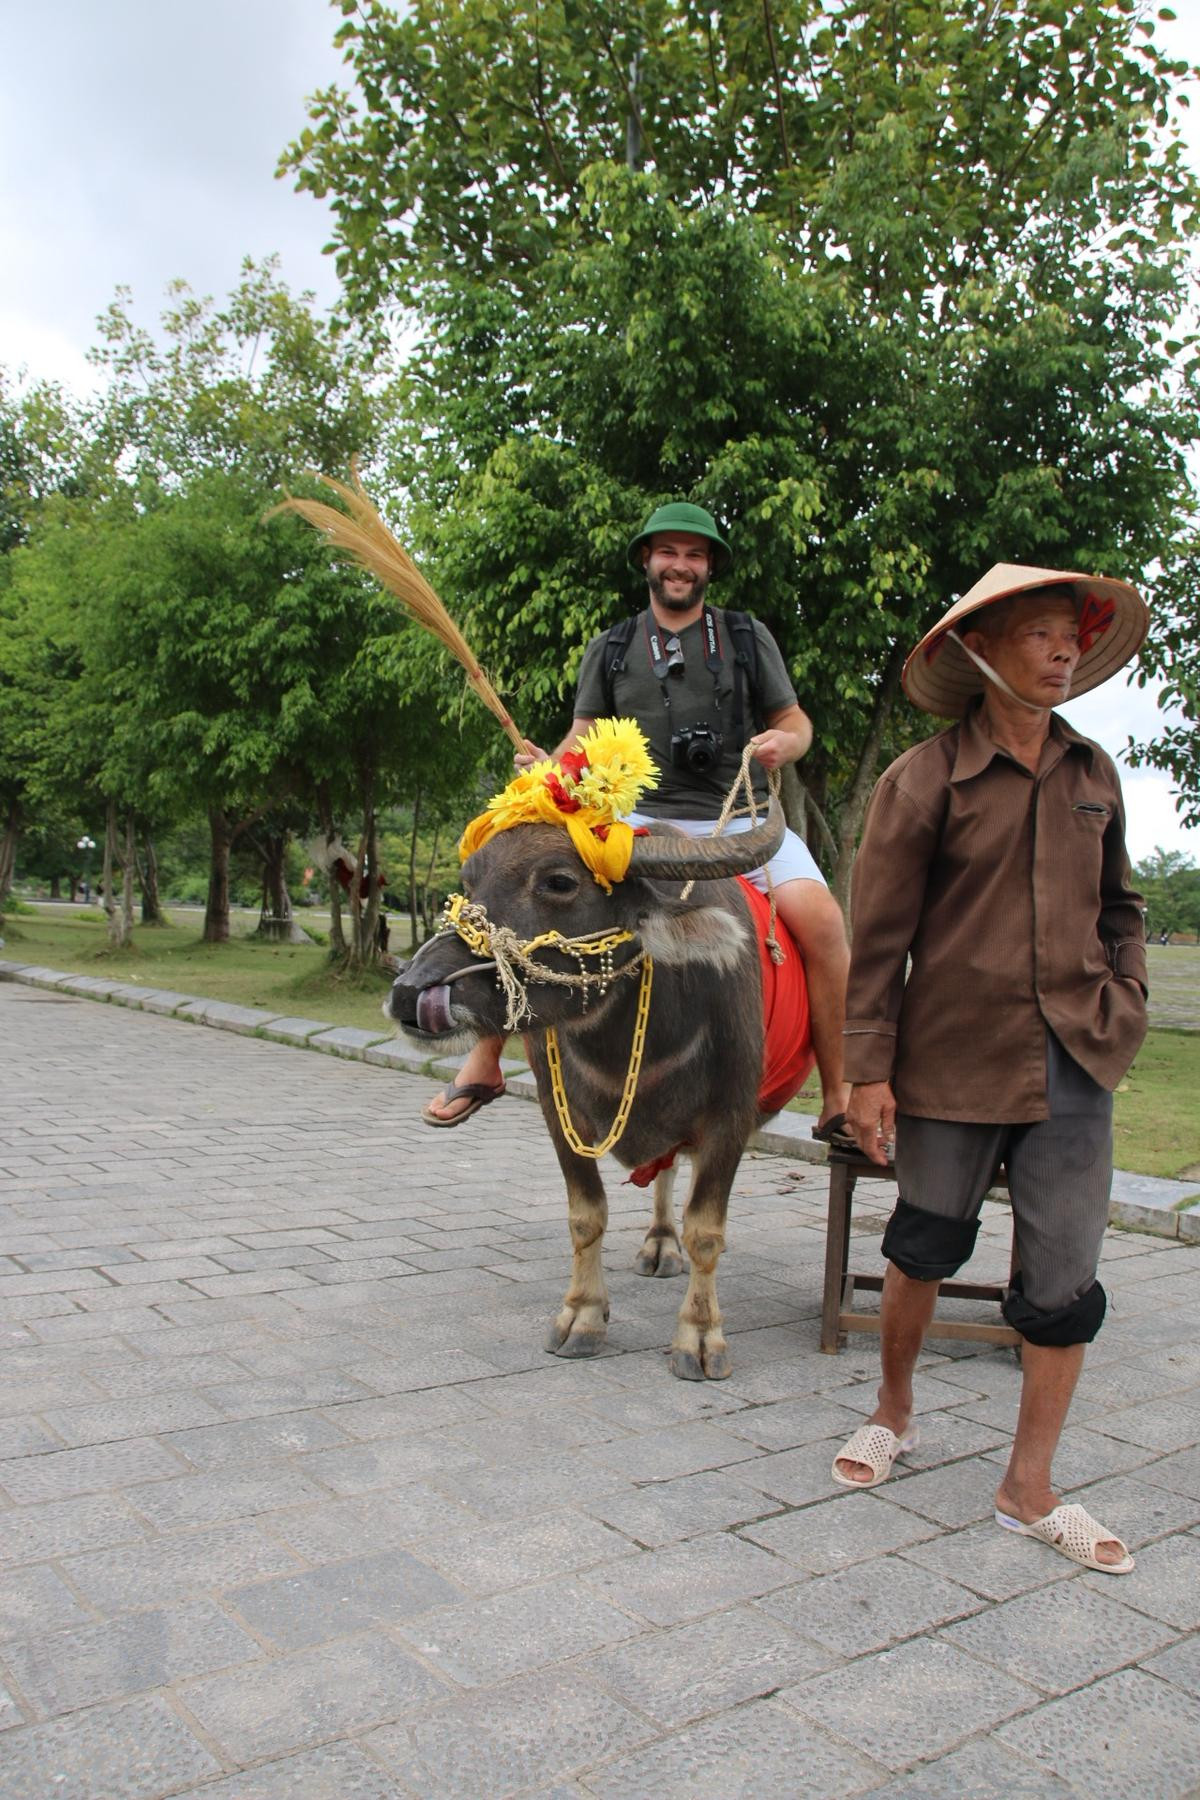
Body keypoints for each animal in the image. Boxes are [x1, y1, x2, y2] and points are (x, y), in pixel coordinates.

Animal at [385, 802, 802, 1375]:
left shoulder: (731, 1116)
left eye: (560, 881)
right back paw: (659, 1244)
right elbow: (586, 1216)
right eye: (468, 881)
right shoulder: (557, 1112)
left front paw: (699, 1336)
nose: (410, 991)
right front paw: (582, 1315)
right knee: (666, 1170)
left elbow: (706, 1230)